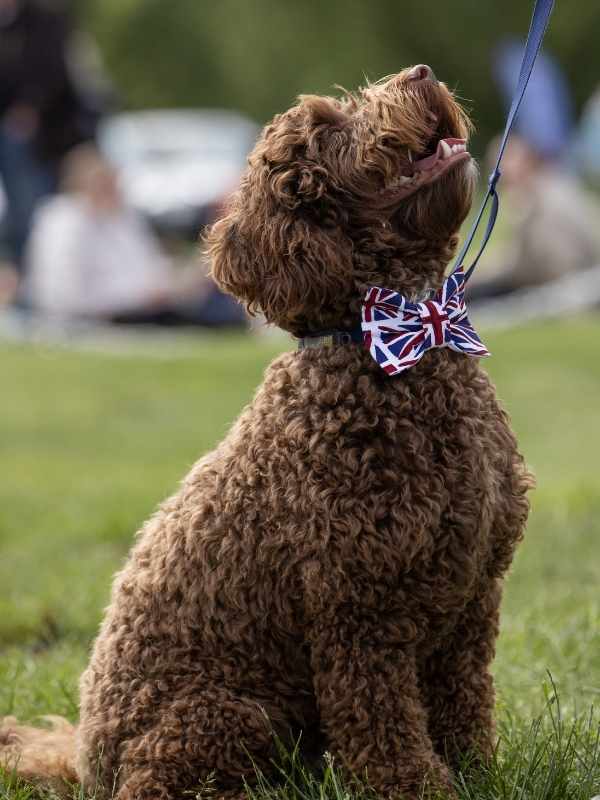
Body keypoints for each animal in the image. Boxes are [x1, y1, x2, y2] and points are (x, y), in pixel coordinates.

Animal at [1, 65, 536, 796]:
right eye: (330, 128)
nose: (421, 75)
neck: (392, 348)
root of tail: (87, 761)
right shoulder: (358, 613)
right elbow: (383, 728)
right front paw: (419, 787)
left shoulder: (475, 594)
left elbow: (464, 701)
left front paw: (478, 773)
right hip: (229, 715)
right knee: (162, 780)